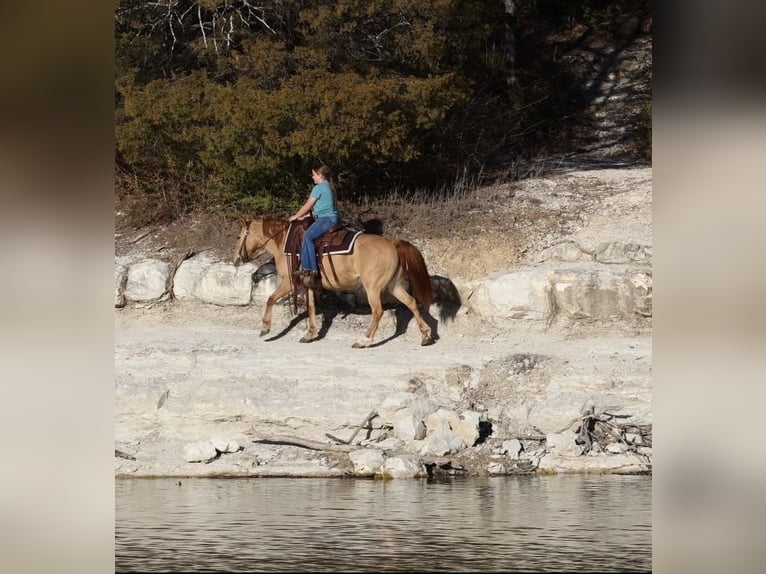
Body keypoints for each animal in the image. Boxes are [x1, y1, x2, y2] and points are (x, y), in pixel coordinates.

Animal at [232, 217, 461, 348]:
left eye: (239, 237)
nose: (236, 259)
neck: (284, 245)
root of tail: (392, 243)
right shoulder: (308, 285)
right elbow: (312, 308)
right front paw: (310, 334)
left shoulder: (289, 282)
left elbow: (270, 299)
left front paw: (265, 328)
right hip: (393, 285)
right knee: (412, 303)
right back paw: (426, 336)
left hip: (373, 287)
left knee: (378, 311)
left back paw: (364, 340)